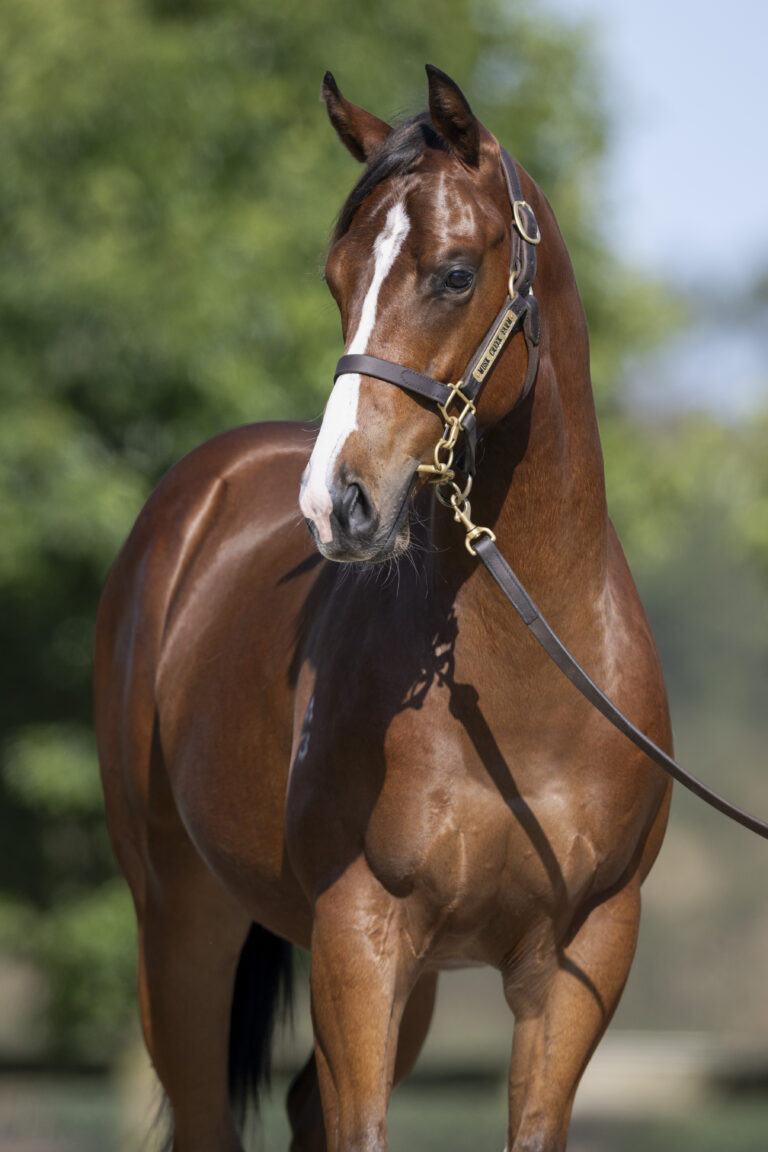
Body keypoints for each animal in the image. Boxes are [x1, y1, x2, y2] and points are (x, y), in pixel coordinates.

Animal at [94, 65, 672, 1152]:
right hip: (180, 922)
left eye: (453, 273)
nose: (339, 503)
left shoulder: (582, 961)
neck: (522, 692)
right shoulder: (358, 938)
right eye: (336, 278)